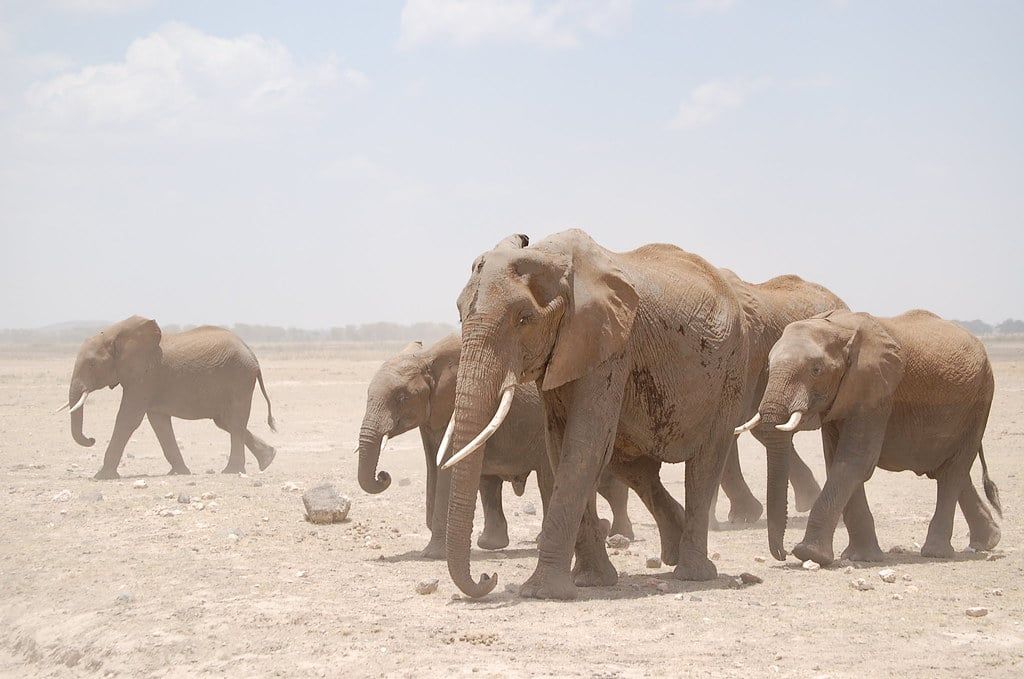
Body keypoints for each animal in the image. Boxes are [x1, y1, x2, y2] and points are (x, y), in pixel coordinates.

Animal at [59, 316, 277, 480]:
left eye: (91, 364)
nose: (91, 439)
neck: (115, 334)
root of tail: (252, 355)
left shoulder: (144, 376)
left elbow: (128, 418)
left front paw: (101, 476)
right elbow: (159, 422)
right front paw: (180, 472)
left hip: (239, 377)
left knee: (235, 419)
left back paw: (232, 471)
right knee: (226, 421)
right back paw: (268, 459)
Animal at [356, 334, 634, 559]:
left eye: (401, 397)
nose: (384, 476)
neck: (429, 358)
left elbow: (446, 471)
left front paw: (432, 555)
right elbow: (435, 468)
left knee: (558, 480)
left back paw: (614, 536)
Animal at [438, 230, 747, 599]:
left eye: (524, 319)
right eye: (459, 314)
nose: (489, 577)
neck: (552, 257)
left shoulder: (610, 347)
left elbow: (584, 446)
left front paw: (542, 592)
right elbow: (561, 447)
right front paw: (591, 581)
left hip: (731, 369)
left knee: (706, 460)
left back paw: (692, 575)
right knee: (634, 468)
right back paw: (674, 550)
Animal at [751, 309, 1002, 566]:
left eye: (816, 370)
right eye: (768, 367)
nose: (782, 554)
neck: (838, 328)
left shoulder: (875, 390)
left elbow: (854, 461)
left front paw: (809, 554)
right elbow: (837, 461)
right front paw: (862, 557)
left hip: (980, 400)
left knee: (953, 472)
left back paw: (936, 553)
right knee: (948, 469)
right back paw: (987, 541)